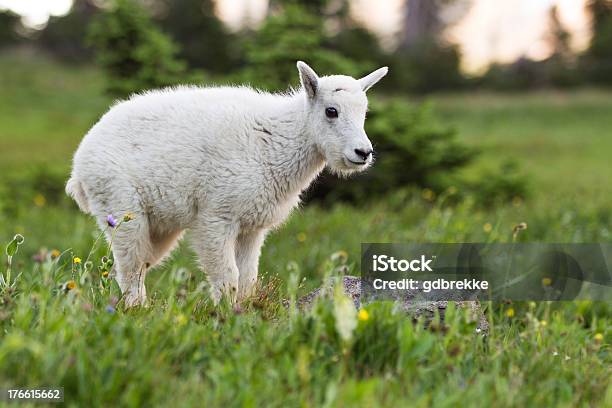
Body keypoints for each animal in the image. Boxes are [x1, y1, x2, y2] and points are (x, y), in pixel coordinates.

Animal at [65, 62, 388, 306]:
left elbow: (247, 277)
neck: (279, 140)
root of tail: (78, 169)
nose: (363, 153)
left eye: (364, 112)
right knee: (130, 267)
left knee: (139, 264)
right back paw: (138, 311)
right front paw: (226, 316)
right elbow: (227, 274)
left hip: (159, 226)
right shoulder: (216, 216)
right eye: (331, 111)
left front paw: (243, 313)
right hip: (122, 208)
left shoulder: (252, 227)